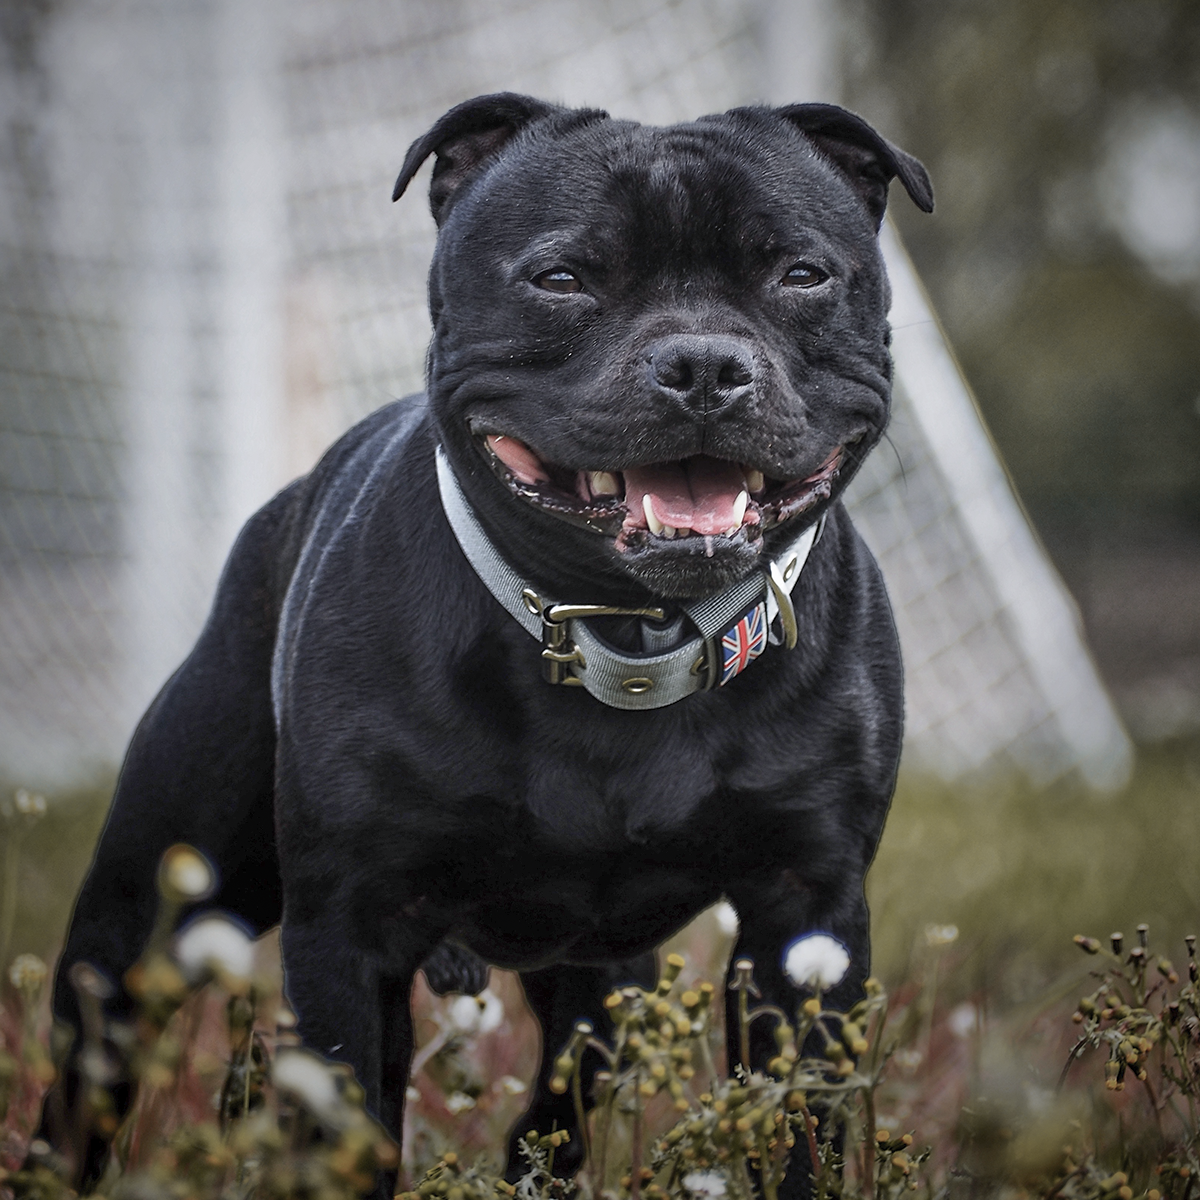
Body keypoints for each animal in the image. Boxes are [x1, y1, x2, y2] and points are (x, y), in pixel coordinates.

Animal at [49, 96, 926, 1190]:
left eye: (801, 274)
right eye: (562, 278)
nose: (705, 367)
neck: (622, 638)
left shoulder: (805, 922)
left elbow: (792, 1130)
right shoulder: (349, 934)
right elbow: (348, 1132)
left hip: (600, 976)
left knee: (565, 1095)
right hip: (153, 906)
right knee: (91, 1063)